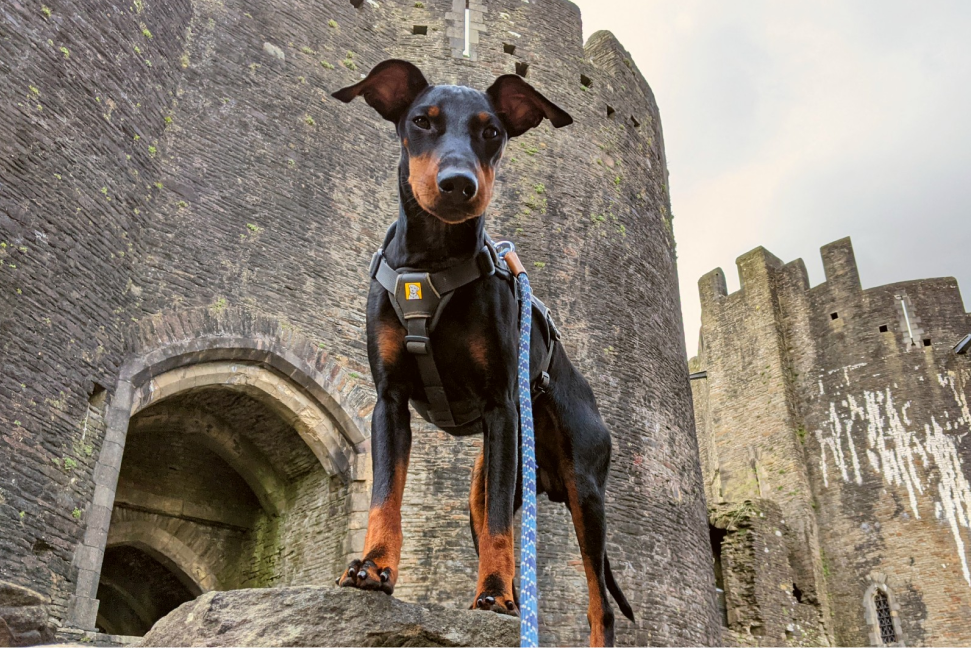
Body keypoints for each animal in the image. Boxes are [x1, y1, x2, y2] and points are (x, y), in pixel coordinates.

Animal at [334, 60, 636, 648]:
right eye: (421, 121)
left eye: (491, 131)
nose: (458, 184)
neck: (433, 260)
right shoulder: (389, 402)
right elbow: (385, 495)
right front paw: (373, 568)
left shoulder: (501, 408)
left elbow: (500, 526)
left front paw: (492, 594)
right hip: (489, 480)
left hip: (584, 492)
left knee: (599, 604)